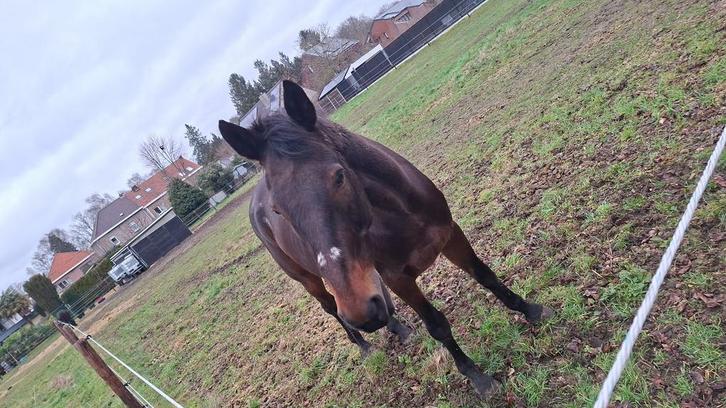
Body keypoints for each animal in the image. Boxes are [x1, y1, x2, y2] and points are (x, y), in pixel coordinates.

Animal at [218, 80, 552, 396]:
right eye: (278, 209)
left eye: (339, 176)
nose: (360, 313)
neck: (401, 214)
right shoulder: (398, 278)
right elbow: (437, 326)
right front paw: (478, 378)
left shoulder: (450, 235)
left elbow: (486, 277)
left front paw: (533, 311)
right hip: (310, 280)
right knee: (331, 308)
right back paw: (365, 346)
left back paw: (396, 328)